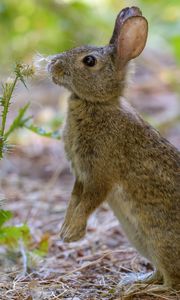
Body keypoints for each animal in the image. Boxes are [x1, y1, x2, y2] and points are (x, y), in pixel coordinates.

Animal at [47, 5, 180, 290]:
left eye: (89, 61)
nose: (53, 64)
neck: (96, 104)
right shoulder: (81, 175)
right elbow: (75, 199)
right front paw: (66, 231)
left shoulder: (100, 173)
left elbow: (89, 201)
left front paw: (71, 234)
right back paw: (133, 281)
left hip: (159, 239)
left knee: (171, 281)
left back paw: (138, 288)